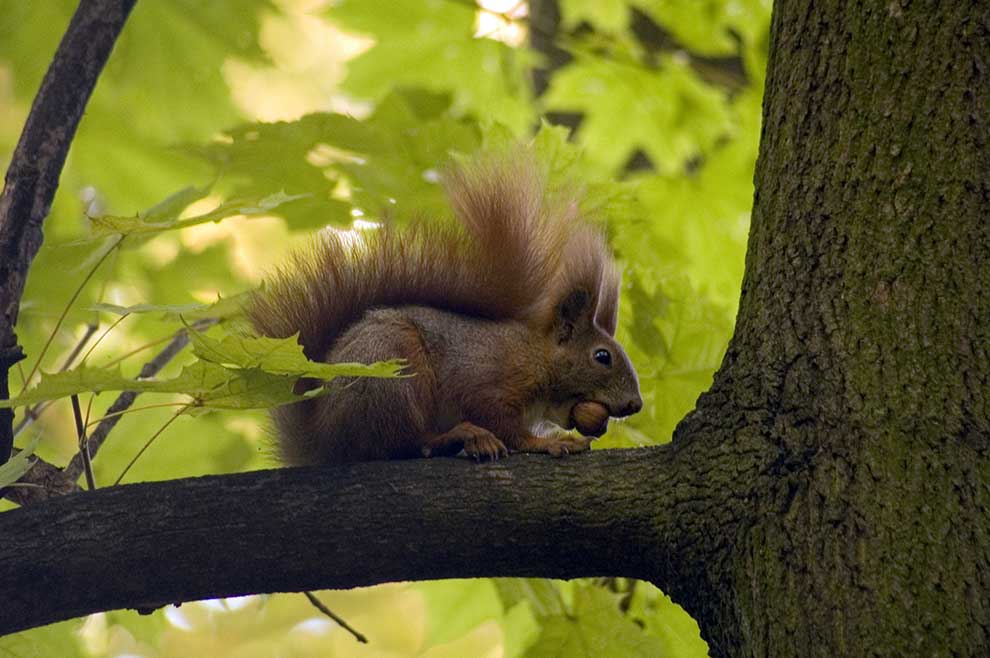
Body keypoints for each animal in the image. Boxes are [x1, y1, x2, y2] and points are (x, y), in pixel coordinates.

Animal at [250, 154, 644, 464]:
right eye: (602, 356)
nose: (635, 405)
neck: (534, 355)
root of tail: (324, 440)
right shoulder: (487, 380)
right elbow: (504, 425)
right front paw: (549, 443)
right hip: (392, 371)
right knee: (399, 443)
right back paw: (461, 436)